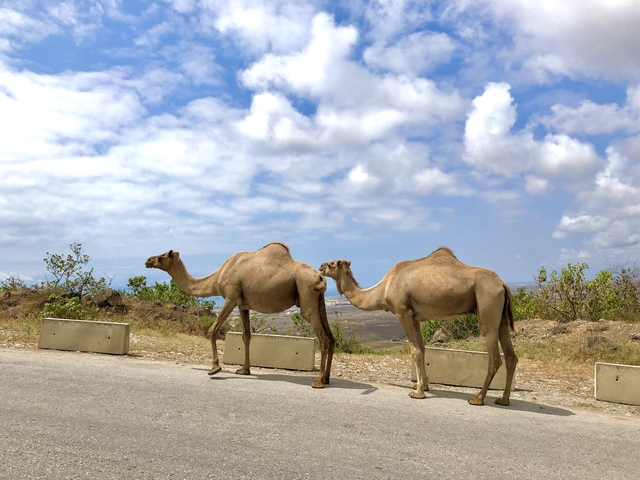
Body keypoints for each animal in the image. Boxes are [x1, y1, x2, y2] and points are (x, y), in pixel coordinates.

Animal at [146, 242, 335, 388]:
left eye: (163, 255)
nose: (148, 260)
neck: (218, 276)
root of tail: (319, 277)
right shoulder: (243, 305)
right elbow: (246, 336)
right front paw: (244, 370)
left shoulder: (231, 297)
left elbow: (212, 329)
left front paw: (214, 368)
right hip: (318, 299)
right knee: (331, 338)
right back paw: (326, 378)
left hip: (306, 293)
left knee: (323, 338)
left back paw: (318, 382)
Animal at [320, 247, 518, 405]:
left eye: (332, 264)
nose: (321, 266)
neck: (384, 288)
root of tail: (503, 284)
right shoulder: (415, 317)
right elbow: (422, 349)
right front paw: (424, 386)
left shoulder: (403, 312)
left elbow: (414, 350)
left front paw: (417, 392)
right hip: (501, 316)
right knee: (511, 356)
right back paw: (503, 399)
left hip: (488, 307)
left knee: (494, 357)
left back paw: (478, 398)